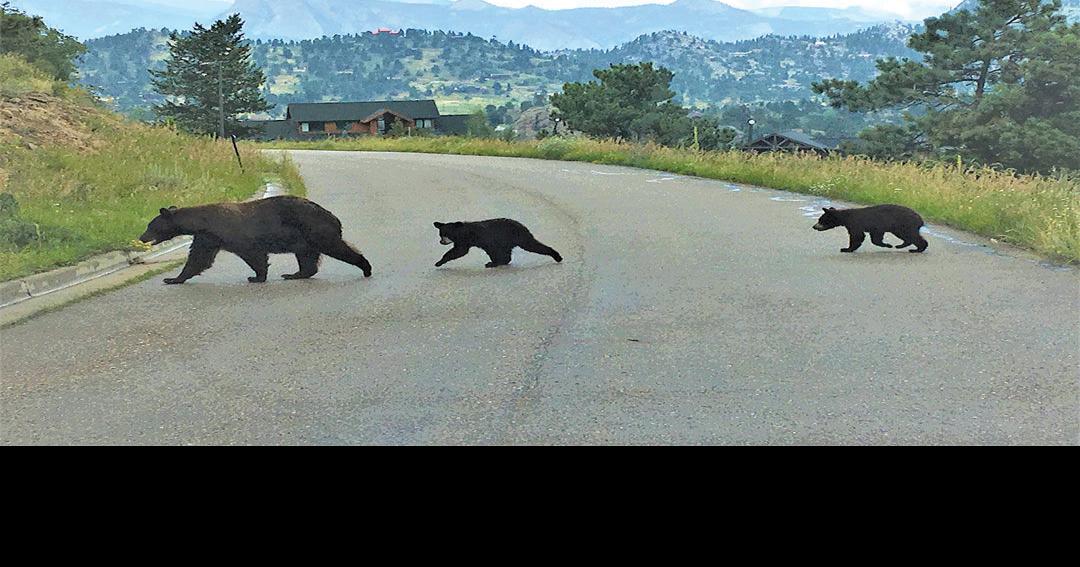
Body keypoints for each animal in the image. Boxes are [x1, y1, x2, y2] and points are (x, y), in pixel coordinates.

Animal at [137, 195, 373, 282]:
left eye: (150, 226)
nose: (141, 237)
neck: (202, 222)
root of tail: (333, 216)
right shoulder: (208, 237)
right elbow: (199, 258)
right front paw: (175, 278)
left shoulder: (233, 234)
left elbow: (253, 254)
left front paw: (256, 276)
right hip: (304, 239)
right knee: (307, 258)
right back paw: (294, 274)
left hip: (316, 230)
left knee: (337, 247)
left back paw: (365, 267)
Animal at [432, 218, 561, 268]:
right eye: (440, 234)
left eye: (447, 234)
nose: (441, 242)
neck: (463, 232)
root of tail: (523, 227)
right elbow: (459, 250)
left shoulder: (468, 240)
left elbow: (459, 251)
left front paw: (439, 262)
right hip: (506, 242)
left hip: (517, 238)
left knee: (532, 245)